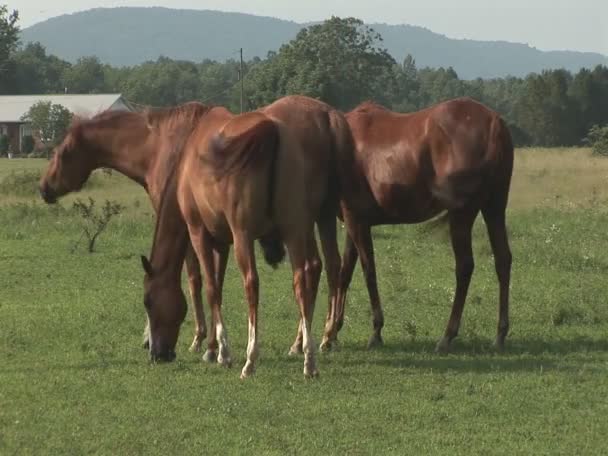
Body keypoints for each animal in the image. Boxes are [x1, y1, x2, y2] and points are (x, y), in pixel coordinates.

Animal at [141, 96, 352, 378]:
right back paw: (309, 356)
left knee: (252, 283)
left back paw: (251, 360)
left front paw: (221, 352)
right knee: (306, 275)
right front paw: (213, 348)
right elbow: (218, 286)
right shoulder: (222, 242)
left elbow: (211, 287)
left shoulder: (199, 233)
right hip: (301, 227)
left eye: (149, 302)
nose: (156, 353)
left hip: (245, 236)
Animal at [320, 97, 516, 352]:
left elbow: (368, 271)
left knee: (464, 266)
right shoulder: (356, 222)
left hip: (462, 214)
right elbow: (345, 273)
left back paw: (447, 336)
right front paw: (332, 332)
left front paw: (374, 331)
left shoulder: (356, 221)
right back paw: (500, 334)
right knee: (503, 260)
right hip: (494, 208)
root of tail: (494, 123)